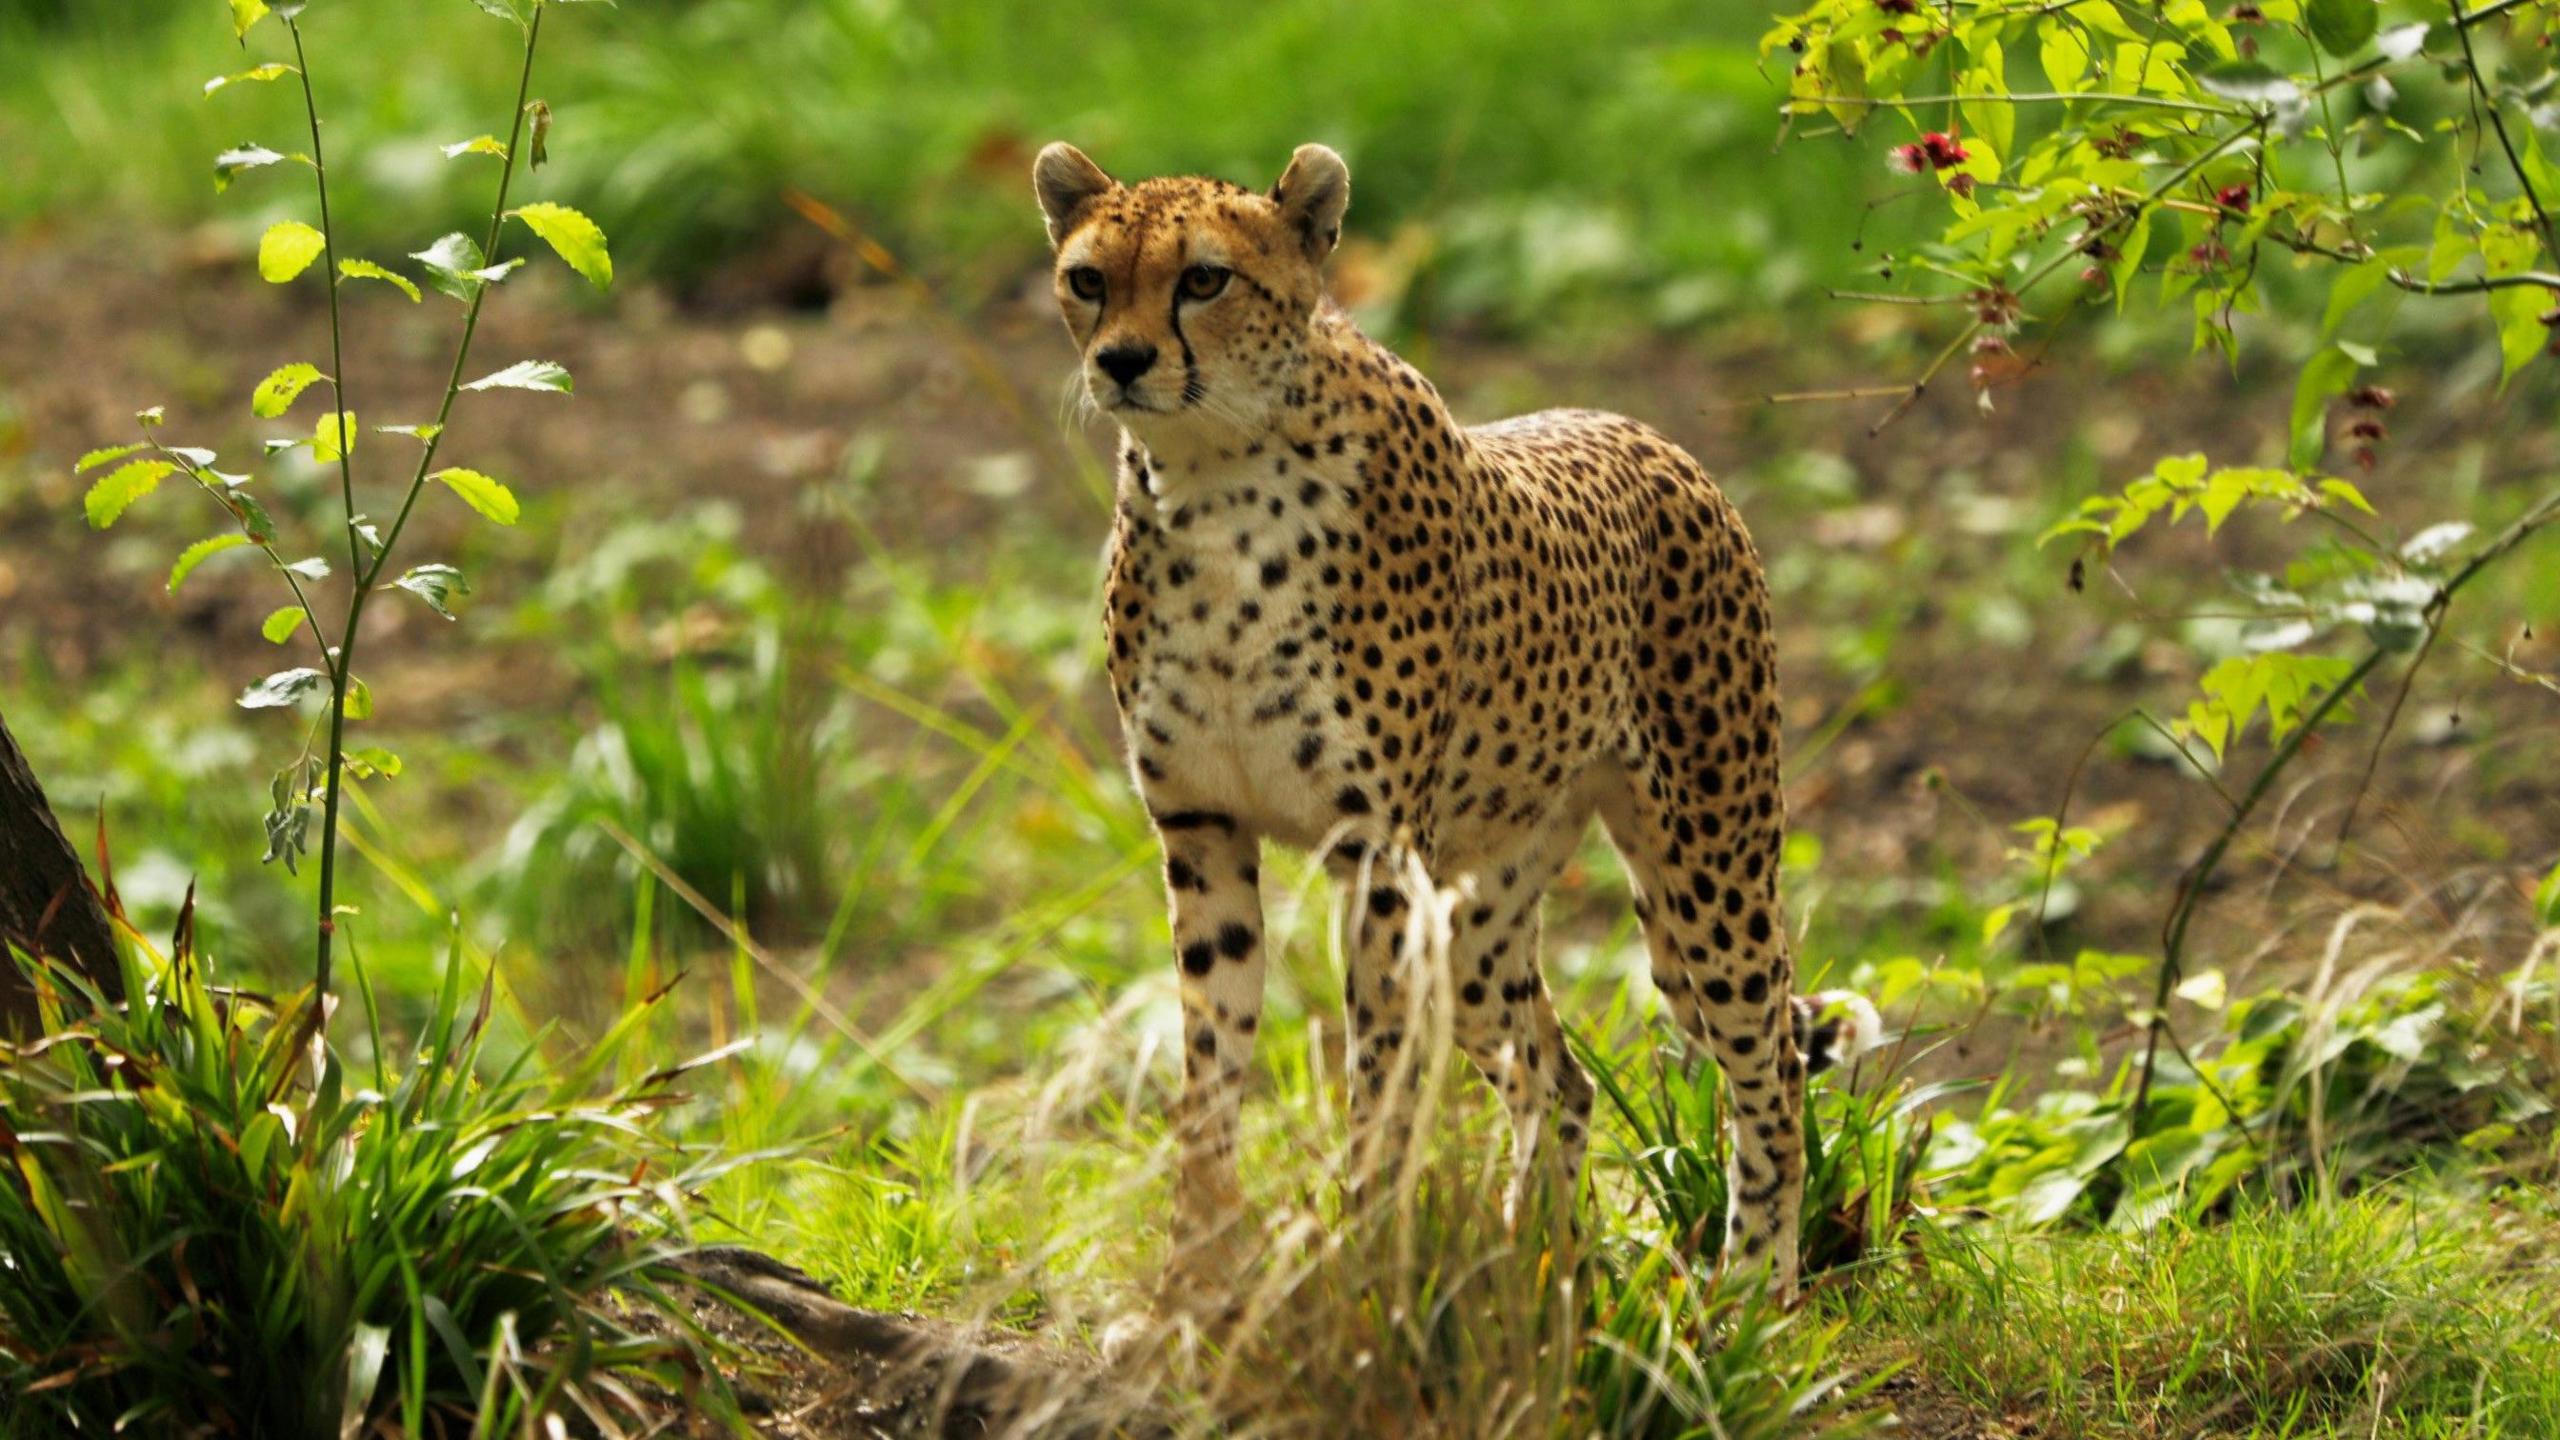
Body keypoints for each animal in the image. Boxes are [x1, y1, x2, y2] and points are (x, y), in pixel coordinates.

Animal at [1034, 142, 1884, 1291]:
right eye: (1087, 279)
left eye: (1203, 279)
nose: (1122, 361)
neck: (1217, 478)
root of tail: (1645, 434)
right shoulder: (1201, 833)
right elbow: (1208, 1074)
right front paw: (1193, 1281)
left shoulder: (1376, 858)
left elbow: (1378, 1085)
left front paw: (1362, 1266)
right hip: (1485, 918)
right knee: (1558, 1075)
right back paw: (1542, 1270)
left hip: (1712, 863)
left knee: (1772, 1072)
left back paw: (1753, 1286)